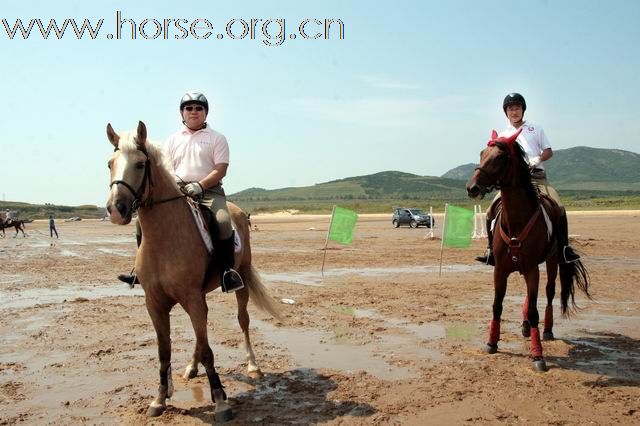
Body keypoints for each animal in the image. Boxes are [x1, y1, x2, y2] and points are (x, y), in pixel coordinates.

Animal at [105, 121, 280, 422]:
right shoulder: (155, 303)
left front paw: (220, 401)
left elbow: (209, 350)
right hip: (200, 295)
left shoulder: (191, 298)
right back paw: (191, 367)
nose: (116, 209)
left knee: (242, 321)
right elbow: (164, 351)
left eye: (140, 164)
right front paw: (159, 399)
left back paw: (252, 365)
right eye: (110, 164)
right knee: (201, 333)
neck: (164, 238)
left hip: (240, 279)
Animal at [464, 130, 592, 372]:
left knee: (549, 293)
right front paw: (492, 342)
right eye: (482, 153)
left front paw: (538, 356)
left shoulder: (533, 269)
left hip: (551, 261)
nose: (472, 187)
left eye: (500, 157)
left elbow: (534, 310)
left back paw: (548, 330)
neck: (516, 220)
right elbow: (497, 305)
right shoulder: (500, 270)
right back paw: (524, 326)